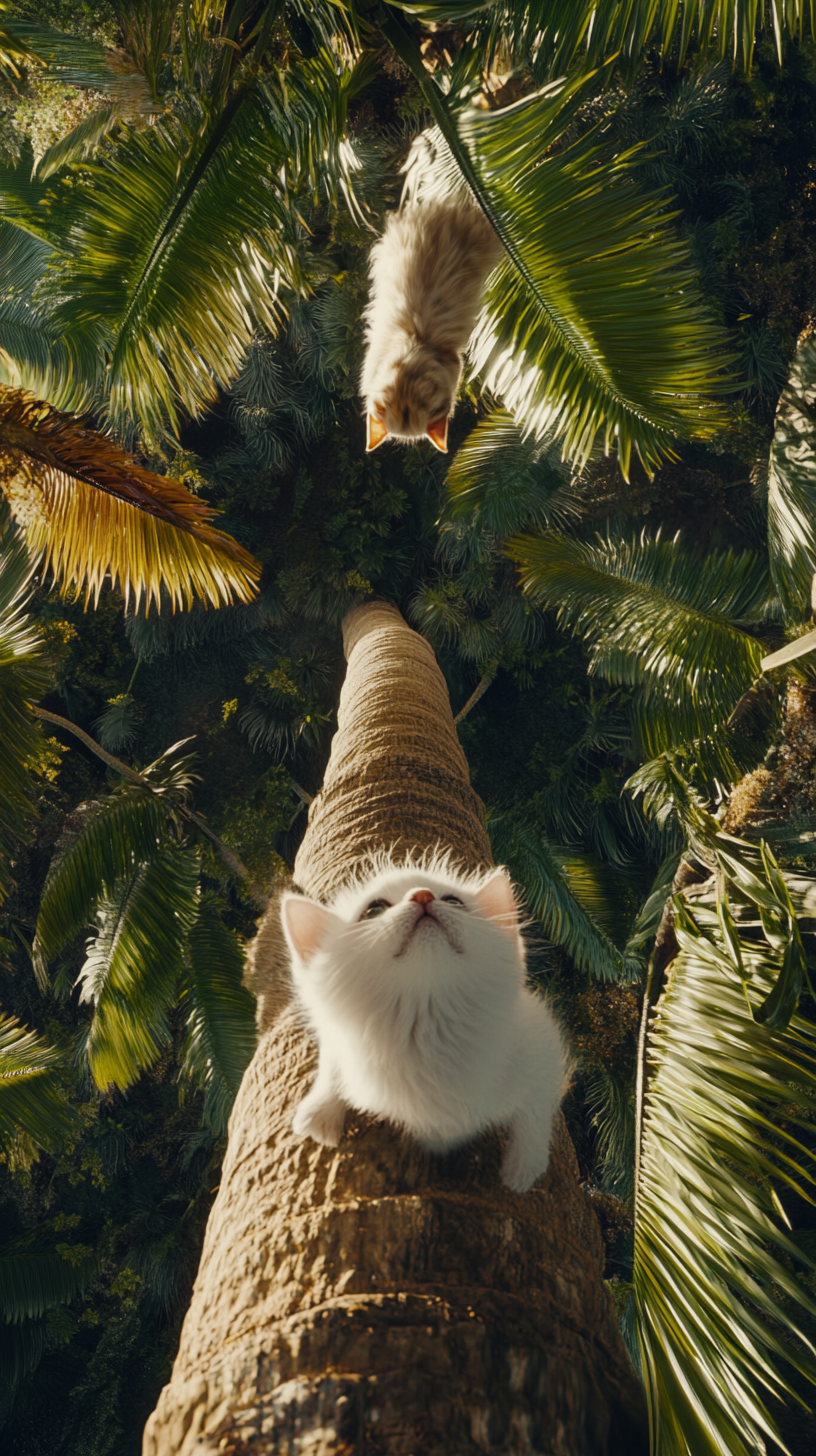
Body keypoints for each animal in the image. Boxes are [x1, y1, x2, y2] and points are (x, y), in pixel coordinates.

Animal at [279, 856, 568, 1188]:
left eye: (454, 901)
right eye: (374, 909)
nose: (423, 895)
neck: (429, 1030)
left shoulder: (541, 1042)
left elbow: (535, 1114)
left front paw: (522, 1170)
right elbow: (333, 1059)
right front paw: (319, 1111)